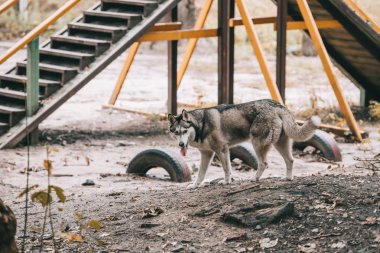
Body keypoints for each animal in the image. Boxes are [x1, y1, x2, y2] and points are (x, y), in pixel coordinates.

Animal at [168, 99, 320, 188]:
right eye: (176, 132)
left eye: (185, 131)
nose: (181, 145)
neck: (201, 125)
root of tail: (278, 106)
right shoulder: (207, 154)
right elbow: (201, 173)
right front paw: (195, 185)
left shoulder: (221, 150)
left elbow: (226, 169)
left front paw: (226, 182)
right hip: (280, 145)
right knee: (290, 160)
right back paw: (288, 178)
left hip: (257, 144)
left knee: (263, 163)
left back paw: (255, 178)